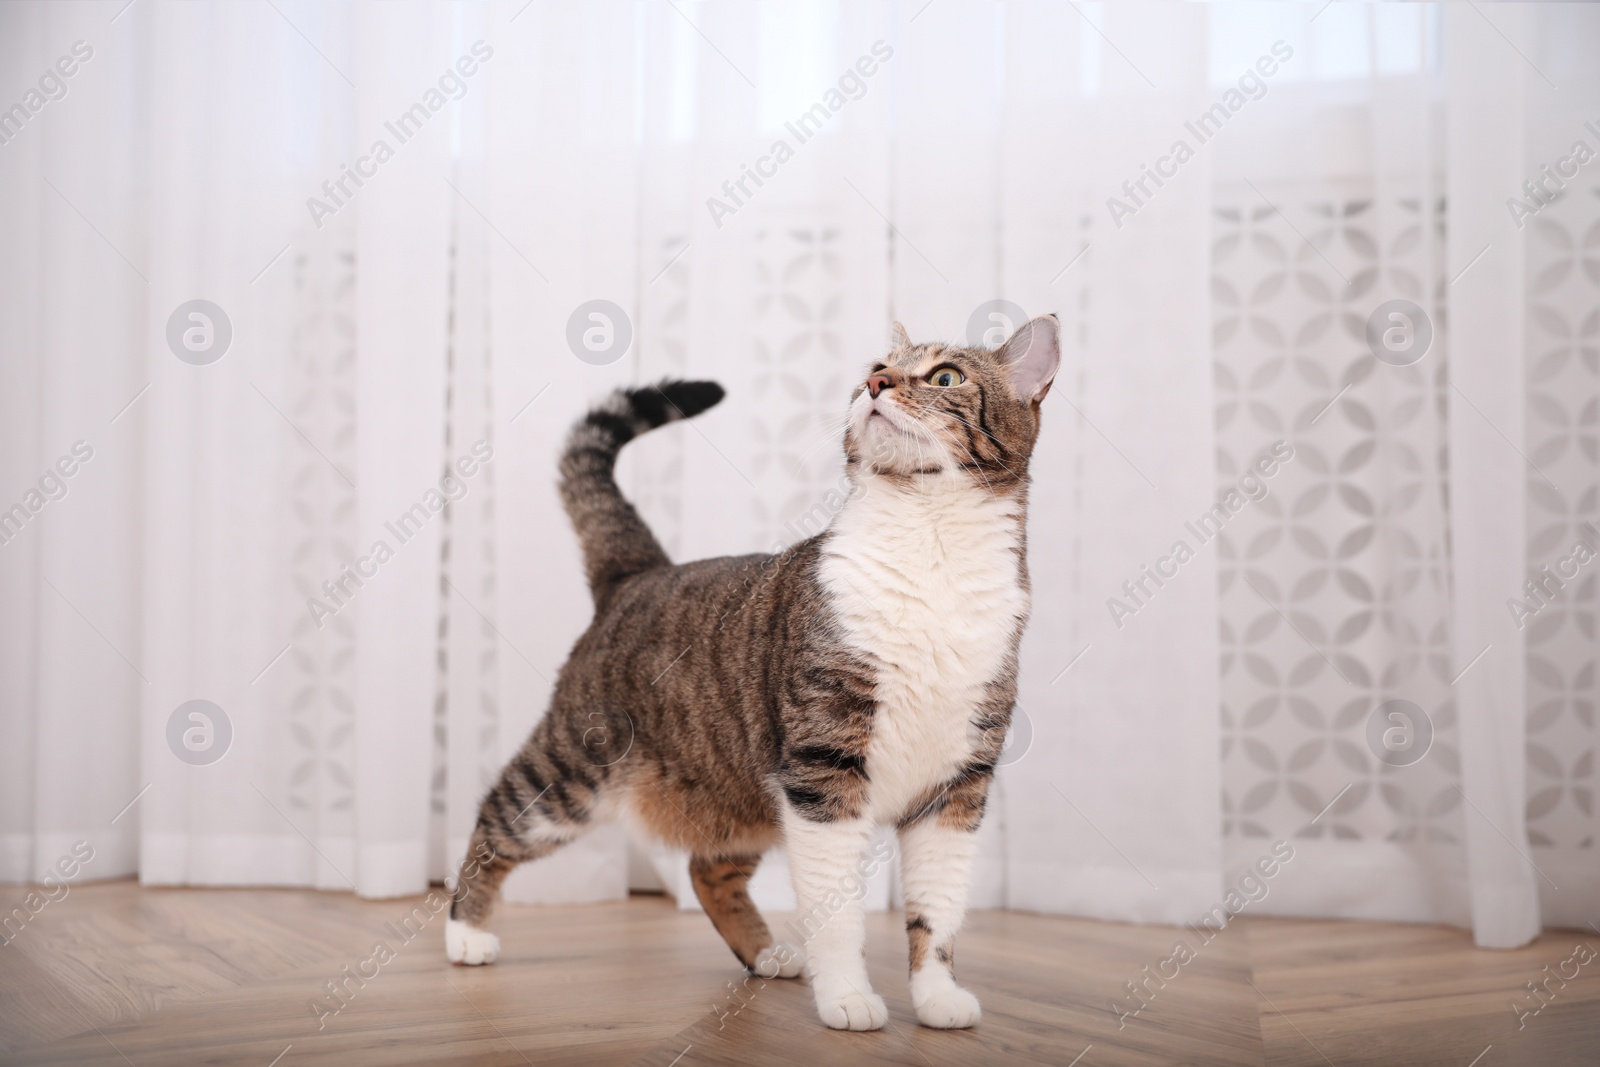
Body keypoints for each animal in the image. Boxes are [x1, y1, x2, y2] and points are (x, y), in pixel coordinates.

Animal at [448, 313, 1062, 1030]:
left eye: (945, 377)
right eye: (875, 367)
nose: (876, 384)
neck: (929, 543)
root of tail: (638, 575)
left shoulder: (957, 787)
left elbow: (936, 911)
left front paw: (936, 997)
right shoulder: (823, 772)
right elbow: (836, 910)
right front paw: (847, 996)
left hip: (743, 791)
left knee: (707, 872)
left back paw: (765, 953)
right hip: (575, 770)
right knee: (496, 818)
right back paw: (465, 931)